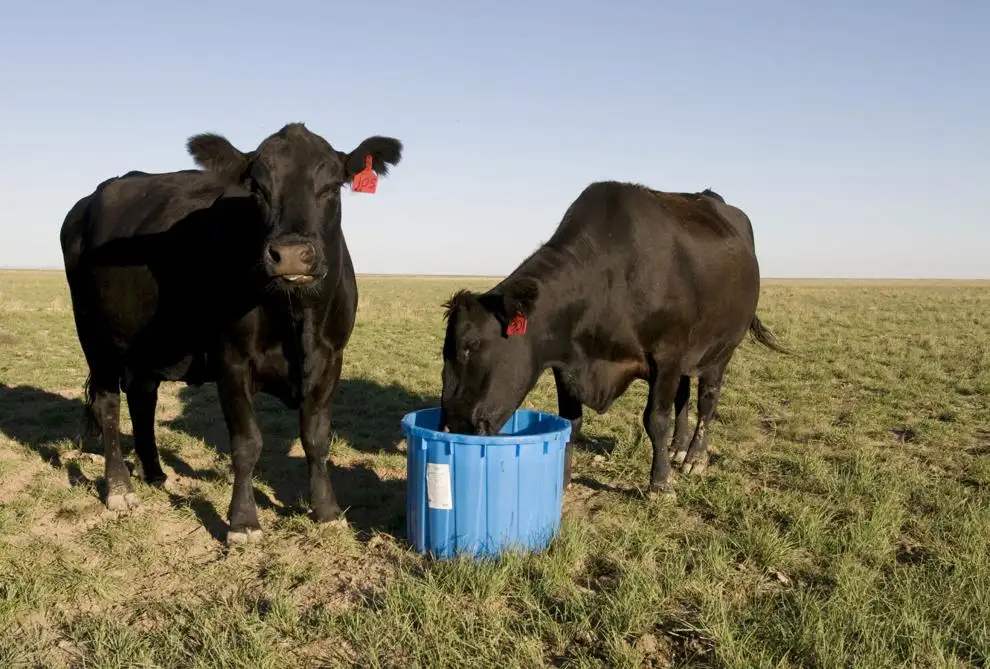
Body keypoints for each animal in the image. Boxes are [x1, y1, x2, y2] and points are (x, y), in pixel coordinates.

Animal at [59, 122, 402, 544]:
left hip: (146, 344)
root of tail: (89, 201)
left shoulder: (330, 360)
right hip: (95, 336)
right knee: (109, 405)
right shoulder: (232, 361)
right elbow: (246, 443)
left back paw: (154, 472)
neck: (296, 317)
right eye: (257, 188)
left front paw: (326, 511)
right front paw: (243, 522)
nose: (291, 254)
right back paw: (120, 488)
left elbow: (316, 438)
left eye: (332, 186)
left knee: (143, 399)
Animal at [438, 180, 787, 494]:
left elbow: (656, 419)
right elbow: (571, 422)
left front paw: (660, 483)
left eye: (470, 346)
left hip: (721, 348)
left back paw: (694, 457)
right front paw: (563, 479)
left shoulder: (667, 356)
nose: (451, 425)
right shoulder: (566, 362)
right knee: (684, 396)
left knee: (707, 400)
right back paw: (677, 447)